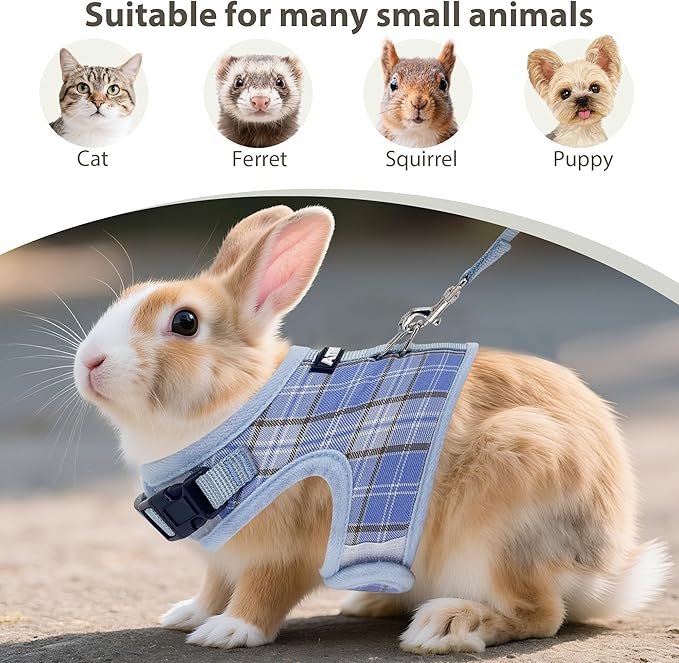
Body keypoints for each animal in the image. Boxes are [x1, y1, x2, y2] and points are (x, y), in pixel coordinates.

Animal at [74, 205, 670, 654]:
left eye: (185, 322)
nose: (90, 362)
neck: (237, 404)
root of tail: (603, 569)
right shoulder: (224, 555)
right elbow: (214, 585)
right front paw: (187, 614)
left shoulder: (287, 543)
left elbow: (264, 590)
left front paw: (228, 632)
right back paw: (371, 600)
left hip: (509, 503)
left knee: (541, 614)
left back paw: (448, 625)